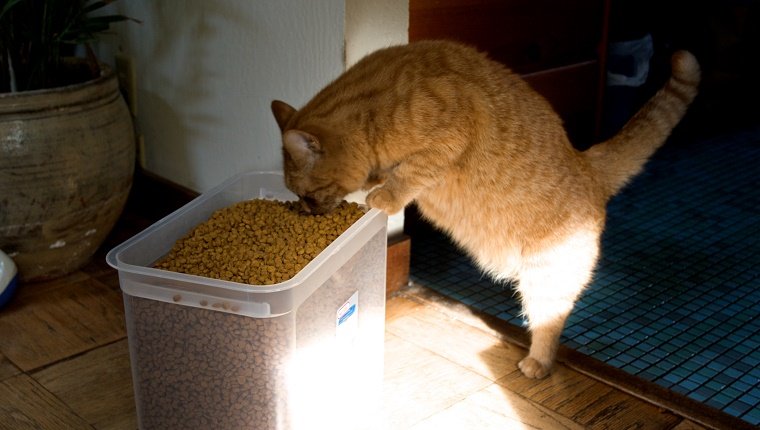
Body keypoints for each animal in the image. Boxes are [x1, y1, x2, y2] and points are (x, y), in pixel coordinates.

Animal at [270, 39, 696, 376]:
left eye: (307, 194)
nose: (307, 212)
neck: (372, 110)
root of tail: (586, 164)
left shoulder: (449, 134)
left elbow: (407, 175)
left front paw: (384, 195)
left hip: (546, 277)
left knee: (549, 324)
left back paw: (537, 364)